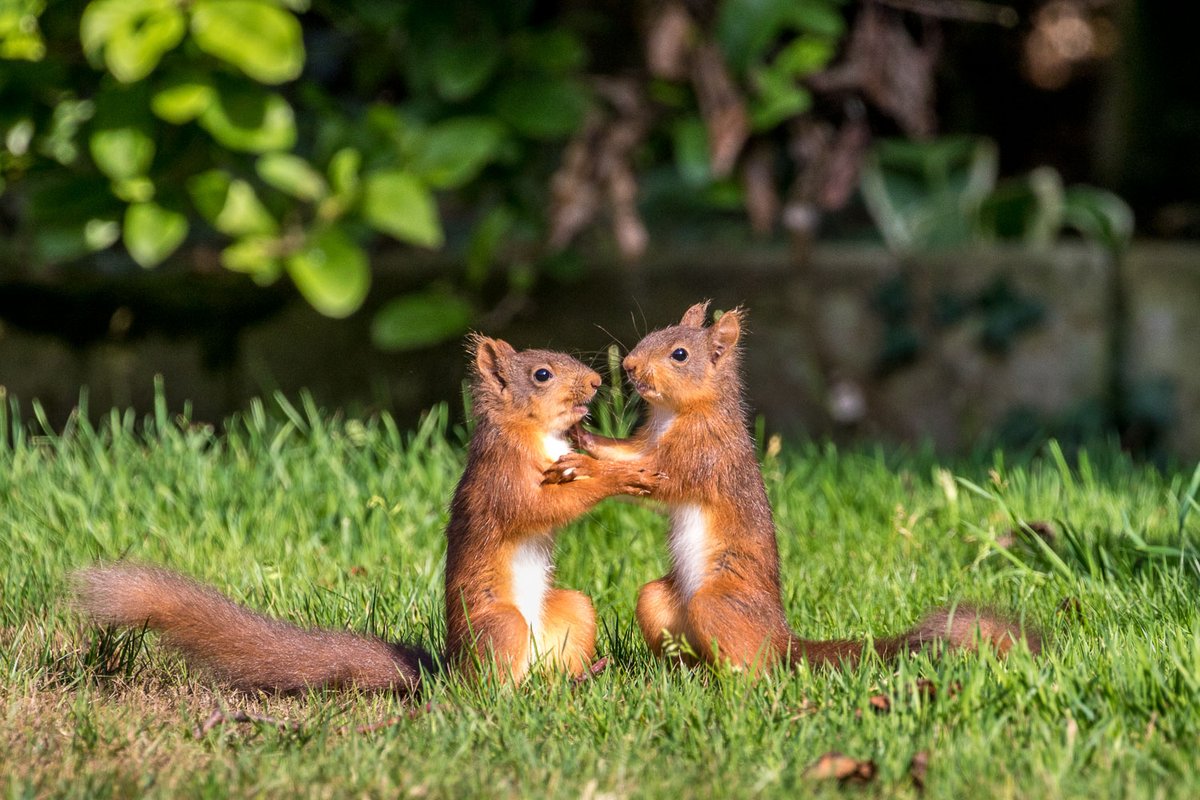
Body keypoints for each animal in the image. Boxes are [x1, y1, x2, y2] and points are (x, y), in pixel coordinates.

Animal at [76, 335, 662, 690]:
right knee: (494, 687)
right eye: (542, 374)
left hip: (573, 610)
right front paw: (617, 476)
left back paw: (580, 678)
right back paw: (514, 697)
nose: (595, 384)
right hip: (501, 626)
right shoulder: (502, 479)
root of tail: (449, 675)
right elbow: (537, 508)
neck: (534, 433)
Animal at [552, 299, 1041, 671]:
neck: (679, 412)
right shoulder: (647, 443)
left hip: (718, 603)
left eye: (680, 355)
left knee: (753, 669)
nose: (629, 364)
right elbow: (625, 453)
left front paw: (587, 466)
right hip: (658, 600)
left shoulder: (702, 456)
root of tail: (779, 639)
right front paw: (583, 438)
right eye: (653, 333)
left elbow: (660, 479)